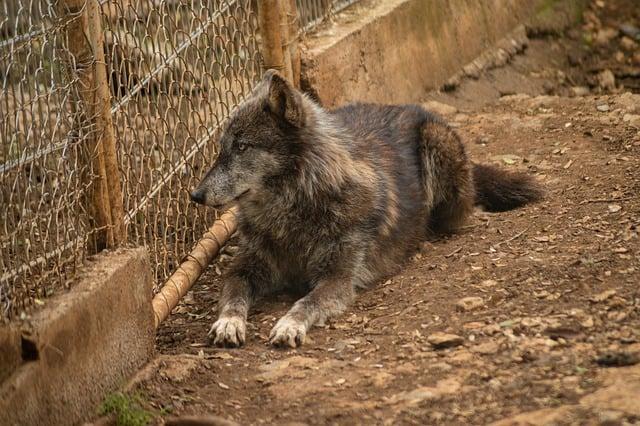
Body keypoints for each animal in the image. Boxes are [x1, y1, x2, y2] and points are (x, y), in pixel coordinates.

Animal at [190, 70, 540, 348]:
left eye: (242, 147)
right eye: (222, 148)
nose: (195, 194)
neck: (292, 212)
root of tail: (401, 106)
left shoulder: (337, 279)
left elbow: (306, 302)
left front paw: (289, 325)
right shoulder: (246, 267)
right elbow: (233, 291)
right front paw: (229, 322)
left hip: (437, 143)